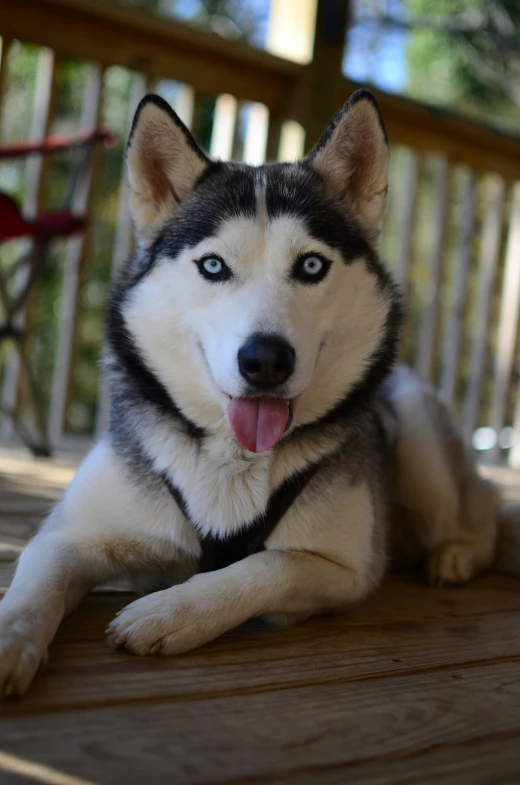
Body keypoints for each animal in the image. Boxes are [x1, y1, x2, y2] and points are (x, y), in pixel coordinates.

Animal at [0, 89, 512, 696]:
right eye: (213, 265)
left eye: (311, 265)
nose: (265, 360)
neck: (232, 457)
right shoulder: (71, 534)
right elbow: (33, 585)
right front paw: (10, 642)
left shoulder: (347, 568)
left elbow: (263, 566)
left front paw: (169, 611)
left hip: (416, 422)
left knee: (483, 515)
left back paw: (456, 555)